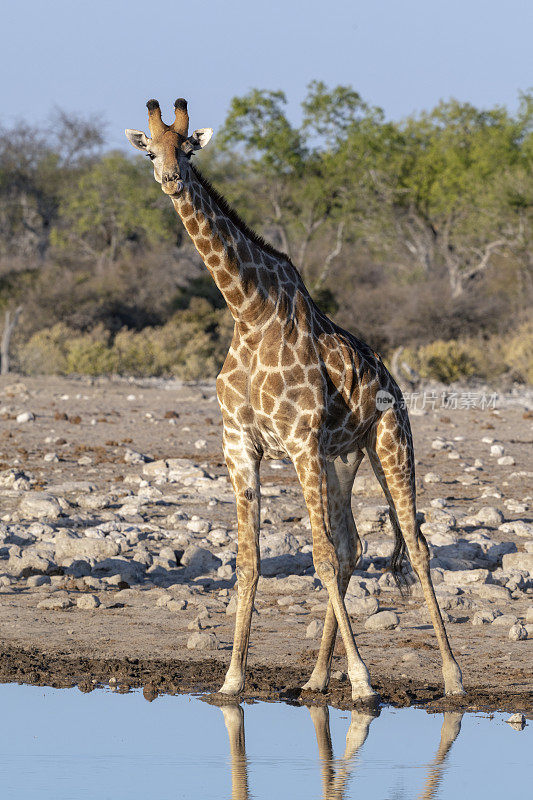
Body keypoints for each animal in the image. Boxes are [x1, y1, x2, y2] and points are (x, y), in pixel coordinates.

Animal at [127, 98, 464, 700]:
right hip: (341, 460)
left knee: (415, 545)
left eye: (187, 149)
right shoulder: (240, 446)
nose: (170, 180)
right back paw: (315, 677)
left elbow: (320, 557)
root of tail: (395, 385)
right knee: (354, 545)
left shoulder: (301, 441)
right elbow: (249, 561)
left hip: (389, 444)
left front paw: (364, 682)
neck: (247, 311)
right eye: (151, 151)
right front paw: (232, 679)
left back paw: (451, 677)